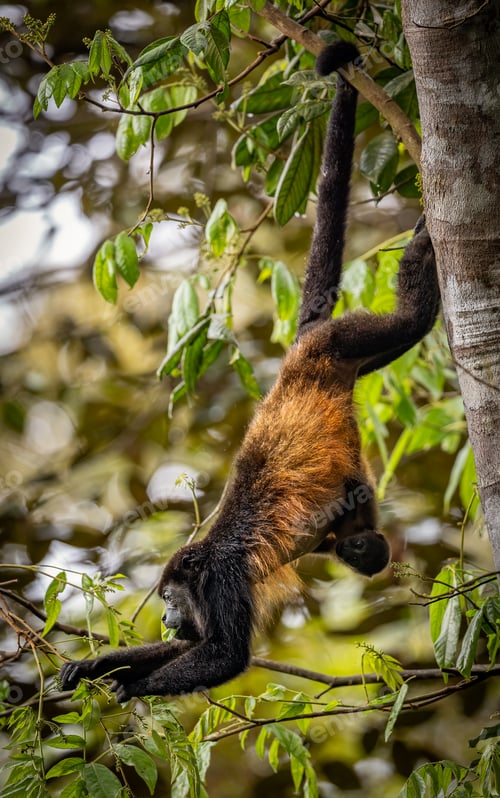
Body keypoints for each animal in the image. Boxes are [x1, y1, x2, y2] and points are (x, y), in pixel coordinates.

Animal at [60, 41, 440, 701]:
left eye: (169, 596)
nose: (166, 615)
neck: (204, 559)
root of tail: (300, 352)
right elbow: (192, 648)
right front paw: (94, 666)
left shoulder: (221, 577)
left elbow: (225, 653)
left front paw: (132, 688)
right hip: (350, 386)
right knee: (362, 547)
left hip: (341, 340)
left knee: (413, 320)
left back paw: (423, 240)